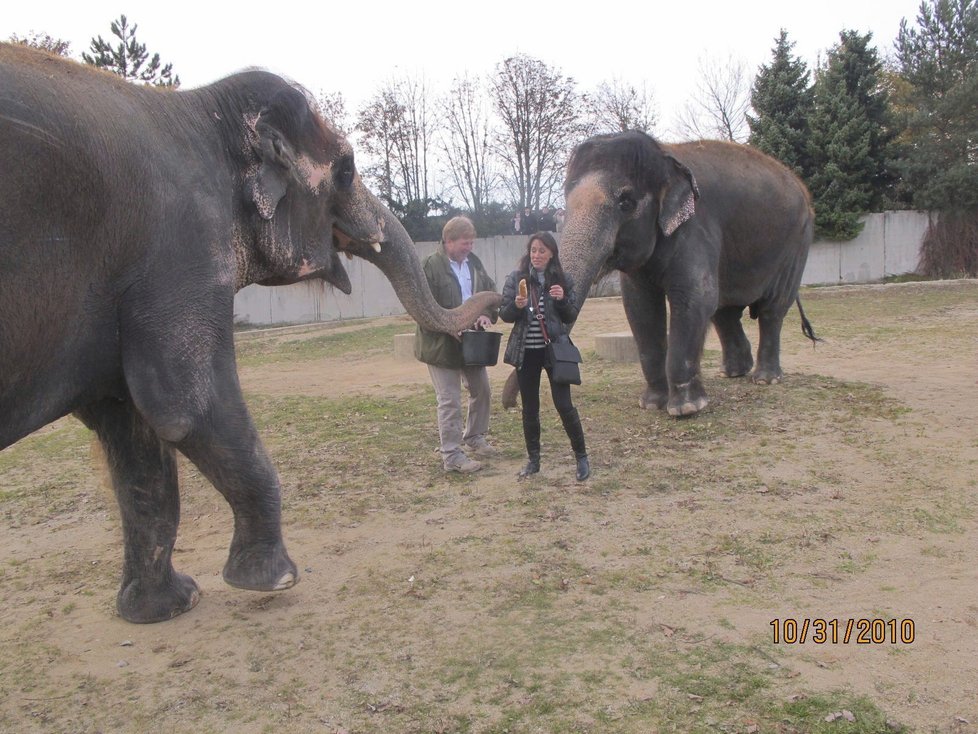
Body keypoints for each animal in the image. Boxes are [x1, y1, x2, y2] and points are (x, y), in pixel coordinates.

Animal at [0, 43, 500, 624]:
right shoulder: (181, 252)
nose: (498, 301)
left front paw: (169, 606)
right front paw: (274, 580)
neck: (202, 109)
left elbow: (136, 435)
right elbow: (186, 407)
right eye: (347, 169)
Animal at [540, 132, 816, 416]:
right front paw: (651, 404)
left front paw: (686, 409)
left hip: (796, 244)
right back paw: (732, 373)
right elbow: (640, 308)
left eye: (626, 203)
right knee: (724, 312)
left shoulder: (695, 227)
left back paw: (765, 379)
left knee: (772, 308)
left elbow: (694, 299)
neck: (664, 155)